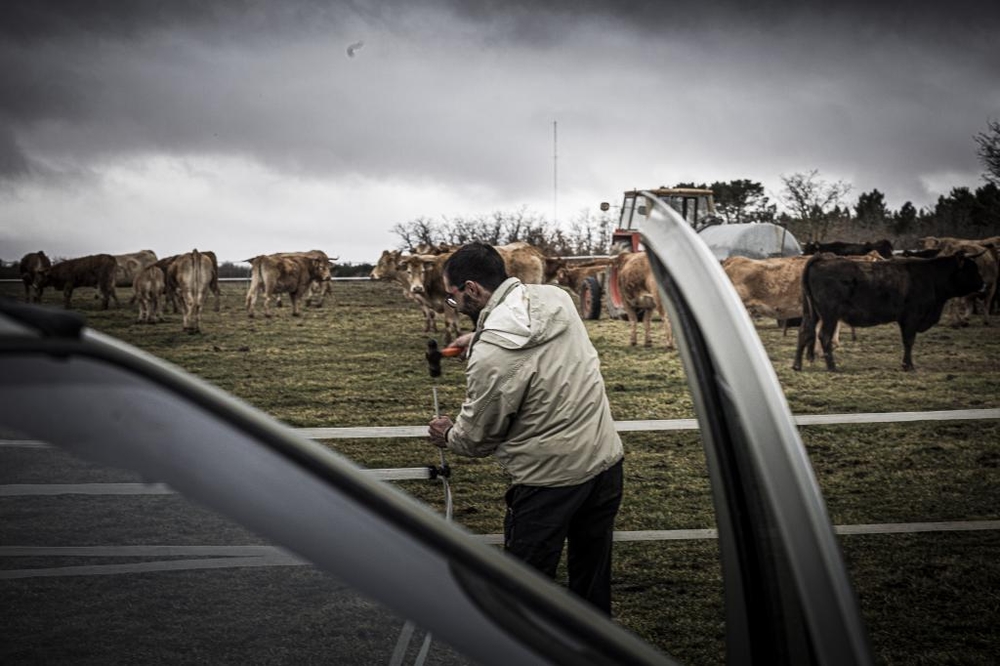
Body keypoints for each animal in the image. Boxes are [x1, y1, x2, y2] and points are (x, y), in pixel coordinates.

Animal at [796, 252, 984, 370]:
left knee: (804, 332)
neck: (930, 276)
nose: (983, 285)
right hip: (830, 315)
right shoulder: (911, 317)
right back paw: (832, 367)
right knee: (824, 336)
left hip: (811, 314)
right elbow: (909, 341)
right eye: (970, 270)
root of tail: (822, 259)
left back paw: (797, 365)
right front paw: (908, 366)